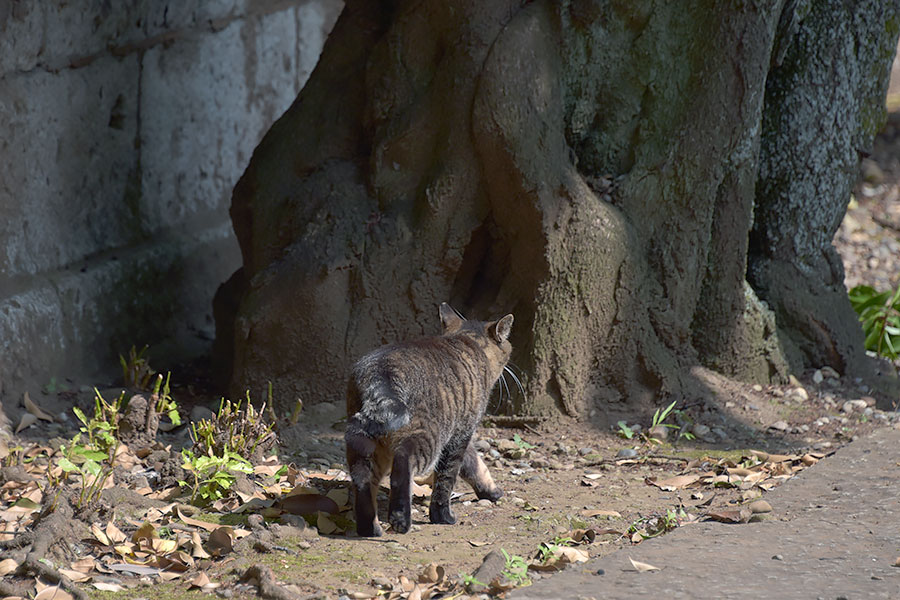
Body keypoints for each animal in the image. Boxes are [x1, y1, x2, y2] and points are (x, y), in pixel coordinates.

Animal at [344, 304, 512, 536]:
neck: (467, 339)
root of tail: (380, 372)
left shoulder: (460, 432)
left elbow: (474, 464)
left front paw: (490, 490)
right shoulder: (460, 434)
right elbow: (447, 479)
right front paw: (443, 516)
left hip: (365, 444)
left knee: (363, 480)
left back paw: (370, 528)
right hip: (427, 437)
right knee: (402, 465)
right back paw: (400, 520)